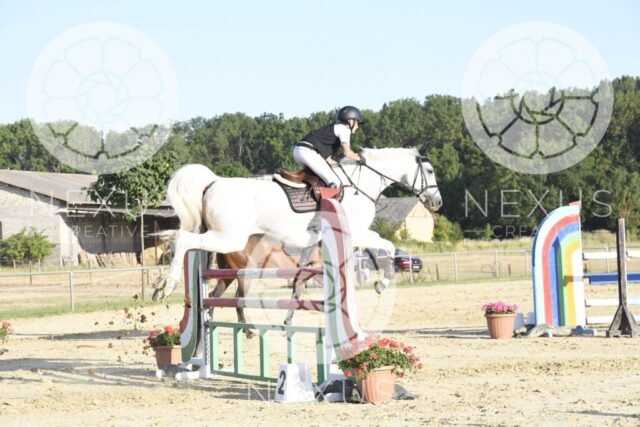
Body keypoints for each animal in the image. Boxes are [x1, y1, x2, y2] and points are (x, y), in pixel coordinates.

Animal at [152, 147, 442, 301]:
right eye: (429, 171)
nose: (437, 202)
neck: (361, 184)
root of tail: (213, 182)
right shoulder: (357, 233)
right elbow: (388, 246)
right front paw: (382, 283)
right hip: (228, 237)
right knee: (182, 240)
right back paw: (165, 287)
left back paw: (161, 285)